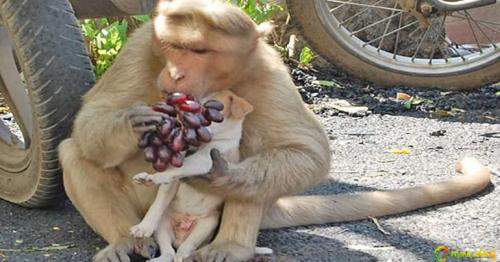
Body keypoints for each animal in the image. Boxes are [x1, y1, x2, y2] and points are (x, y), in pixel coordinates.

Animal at [129, 89, 270, 260]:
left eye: (209, 112)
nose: (183, 120)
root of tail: (180, 234)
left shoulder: (205, 161)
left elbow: (180, 168)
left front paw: (155, 177)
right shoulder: (173, 180)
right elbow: (159, 201)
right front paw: (144, 226)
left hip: (206, 226)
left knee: (184, 251)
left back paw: (185, 255)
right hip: (163, 224)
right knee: (169, 252)